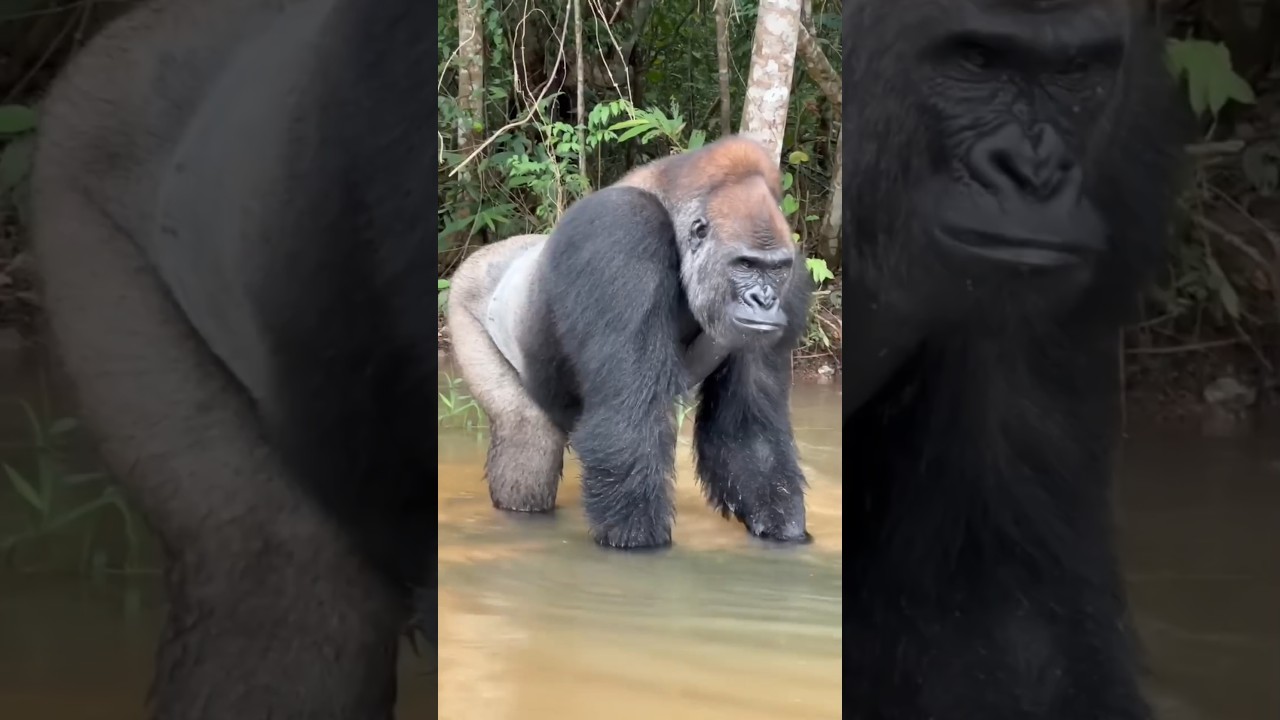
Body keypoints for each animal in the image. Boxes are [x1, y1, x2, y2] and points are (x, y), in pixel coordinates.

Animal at [445, 135, 814, 543]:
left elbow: (749, 435)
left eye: (775, 269)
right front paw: (638, 539)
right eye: (745, 265)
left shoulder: (793, 277)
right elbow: (628, 422)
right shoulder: (623, 233)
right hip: (464, 297)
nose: (764, 300)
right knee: (525, 435)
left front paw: (785, 530)